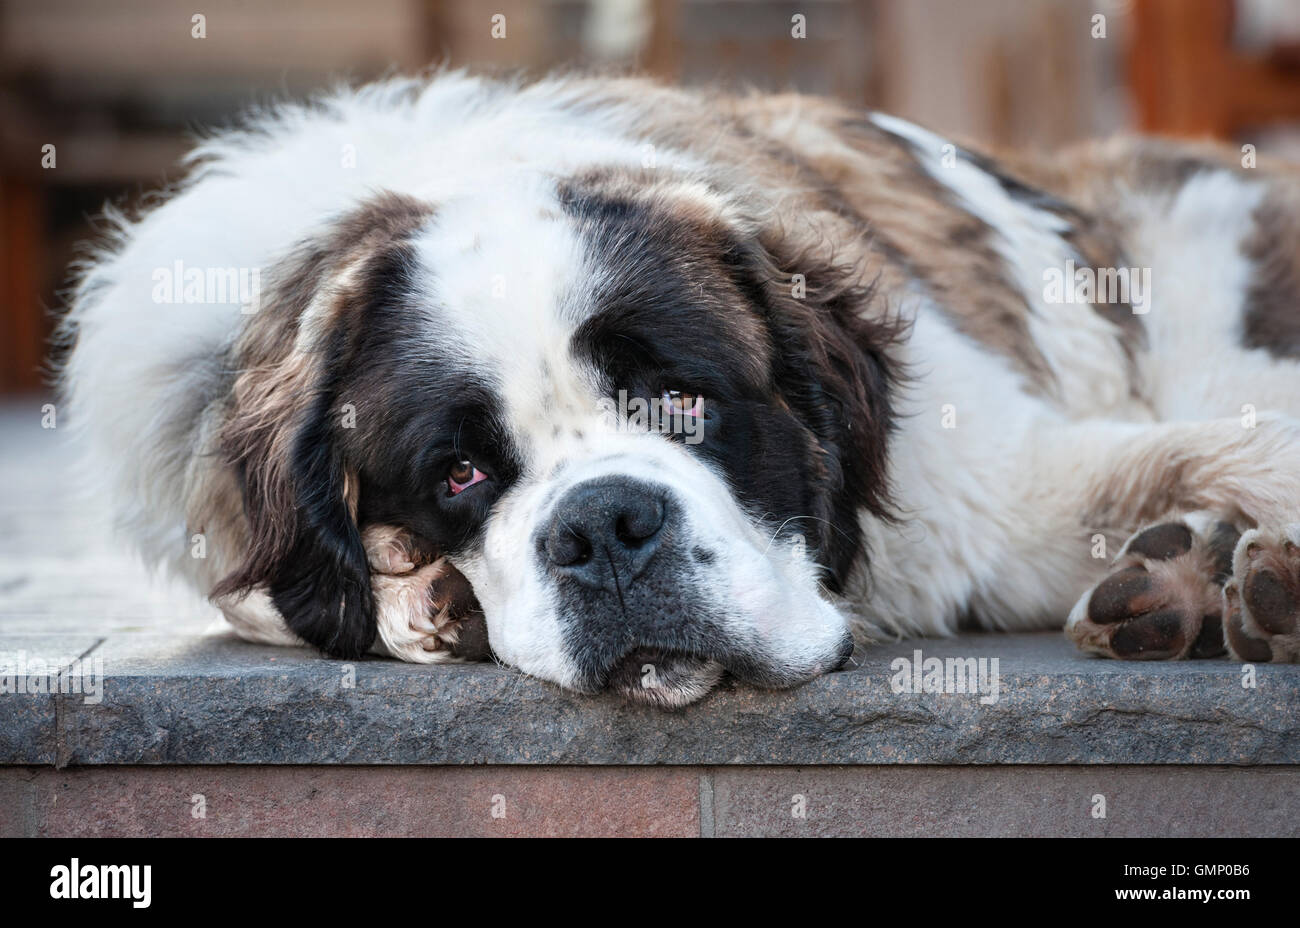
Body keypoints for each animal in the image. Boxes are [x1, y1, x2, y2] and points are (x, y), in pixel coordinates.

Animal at [58, 72, 1300, 707]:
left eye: (681, 405)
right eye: (457, 474)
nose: (605, 528)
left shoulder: (991, 486)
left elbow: (1231, 446)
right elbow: (264, 593)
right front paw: (421, 590)